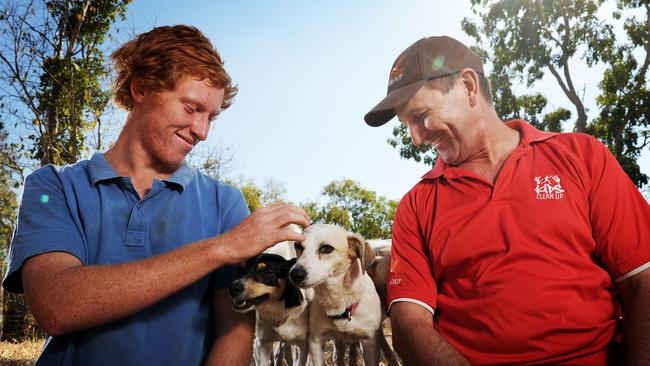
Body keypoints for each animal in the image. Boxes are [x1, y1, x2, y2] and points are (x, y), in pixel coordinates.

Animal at [288, 224, 380, 364]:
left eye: (326, 248)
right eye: (298, 246)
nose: (294, 274)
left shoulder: (370, 343)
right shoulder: (316, 340)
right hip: (339, 344)